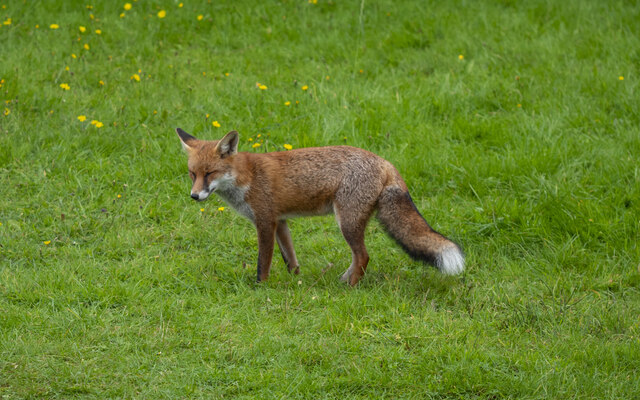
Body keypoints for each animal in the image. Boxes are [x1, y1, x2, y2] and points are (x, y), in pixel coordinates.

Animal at [176, 128, 464, 284]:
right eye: (192, 174)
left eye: (210, 173)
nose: (194, 196)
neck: (246, 178)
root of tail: (385, 162)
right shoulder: (281, 221)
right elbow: (290, 258)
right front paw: (295, 280)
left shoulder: (265, 221)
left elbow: (263, 262)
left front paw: (260, 287)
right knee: (358, 257)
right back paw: (344, 280)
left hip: (346, 221)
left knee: (363, 256)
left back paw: (351, 287)